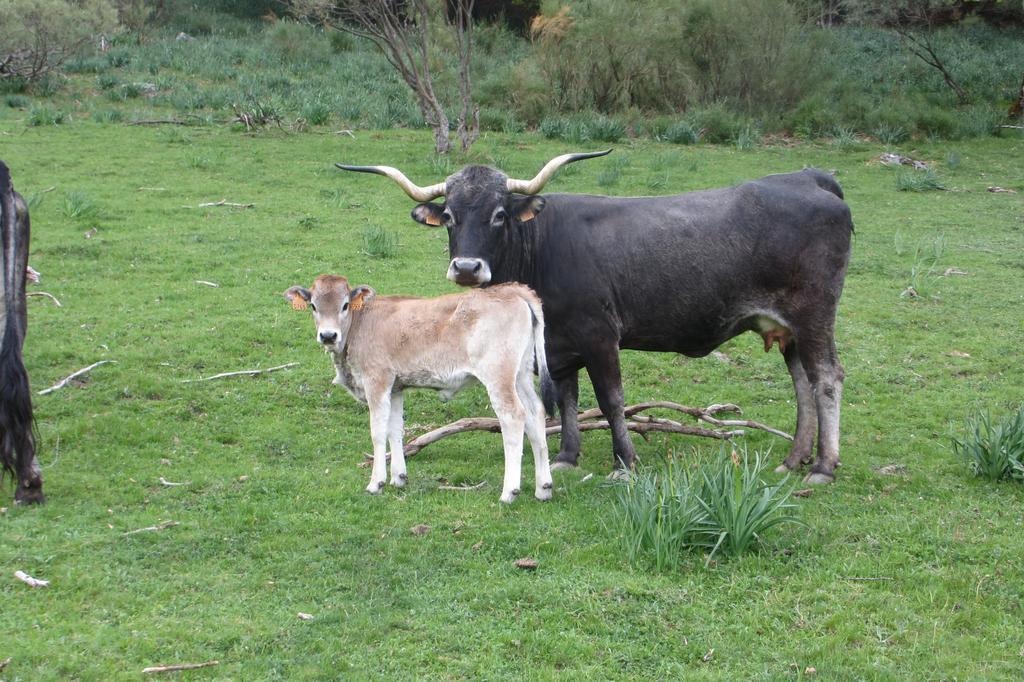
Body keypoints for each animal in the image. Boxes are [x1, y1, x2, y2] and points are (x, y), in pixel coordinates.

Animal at [284, 274, 557, 501]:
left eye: (344, 305)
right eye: (313, 306)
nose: (328, 335)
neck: (360, 324)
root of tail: (512, 289)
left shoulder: (377, 381)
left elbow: (377, 432)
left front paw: (376, 483)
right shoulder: (395, 389)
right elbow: (395, 430)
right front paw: (398, 478)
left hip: (498, 376)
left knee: (513, 417)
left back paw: (509, 491)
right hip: (521, 374)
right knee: (536, 413)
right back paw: (543, 487)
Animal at [337, 153, 856, 483]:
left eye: (500, 214)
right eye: (448, 216)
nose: (467, 268)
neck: (541, 248)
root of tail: (808, 177)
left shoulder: (600, 336)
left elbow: (610, 400)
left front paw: (625, 462)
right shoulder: (559, 344)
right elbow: (566, 399)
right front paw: (567, 456)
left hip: (814, 315)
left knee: (826, 378)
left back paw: (822, 467)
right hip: (787, 329)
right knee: (803, 382)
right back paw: (794, 459)